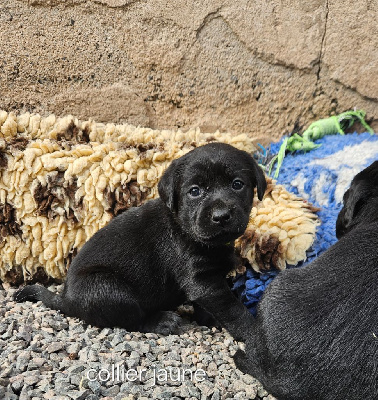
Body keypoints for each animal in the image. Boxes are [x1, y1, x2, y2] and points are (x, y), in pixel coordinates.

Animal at [14, 142, 266, 340]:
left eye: (237, 184)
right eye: (194, 191)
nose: (221, 216)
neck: (184, 227)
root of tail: (65, 301)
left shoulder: (205, 283)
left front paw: (209, 320)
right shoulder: (203, 281)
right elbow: (234, 310)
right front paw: (253, 333)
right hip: (108, 289)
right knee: (131, 319)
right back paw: (161, 321)